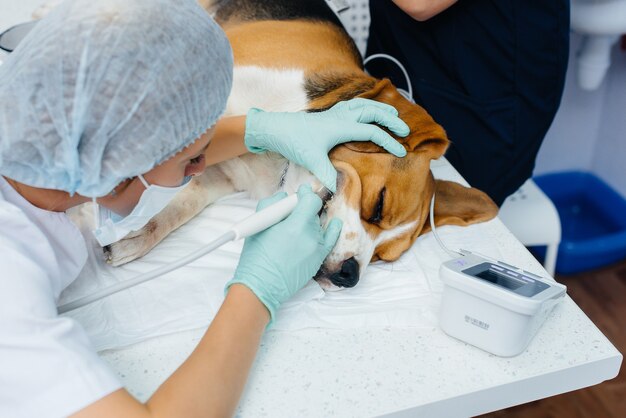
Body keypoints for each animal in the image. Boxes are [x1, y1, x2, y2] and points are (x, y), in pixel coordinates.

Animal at [103, 0, 498, 290]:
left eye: (384, 256)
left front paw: (132, 241)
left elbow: (172, 213)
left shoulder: (216, 176)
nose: (349, 276)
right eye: (377, 205)